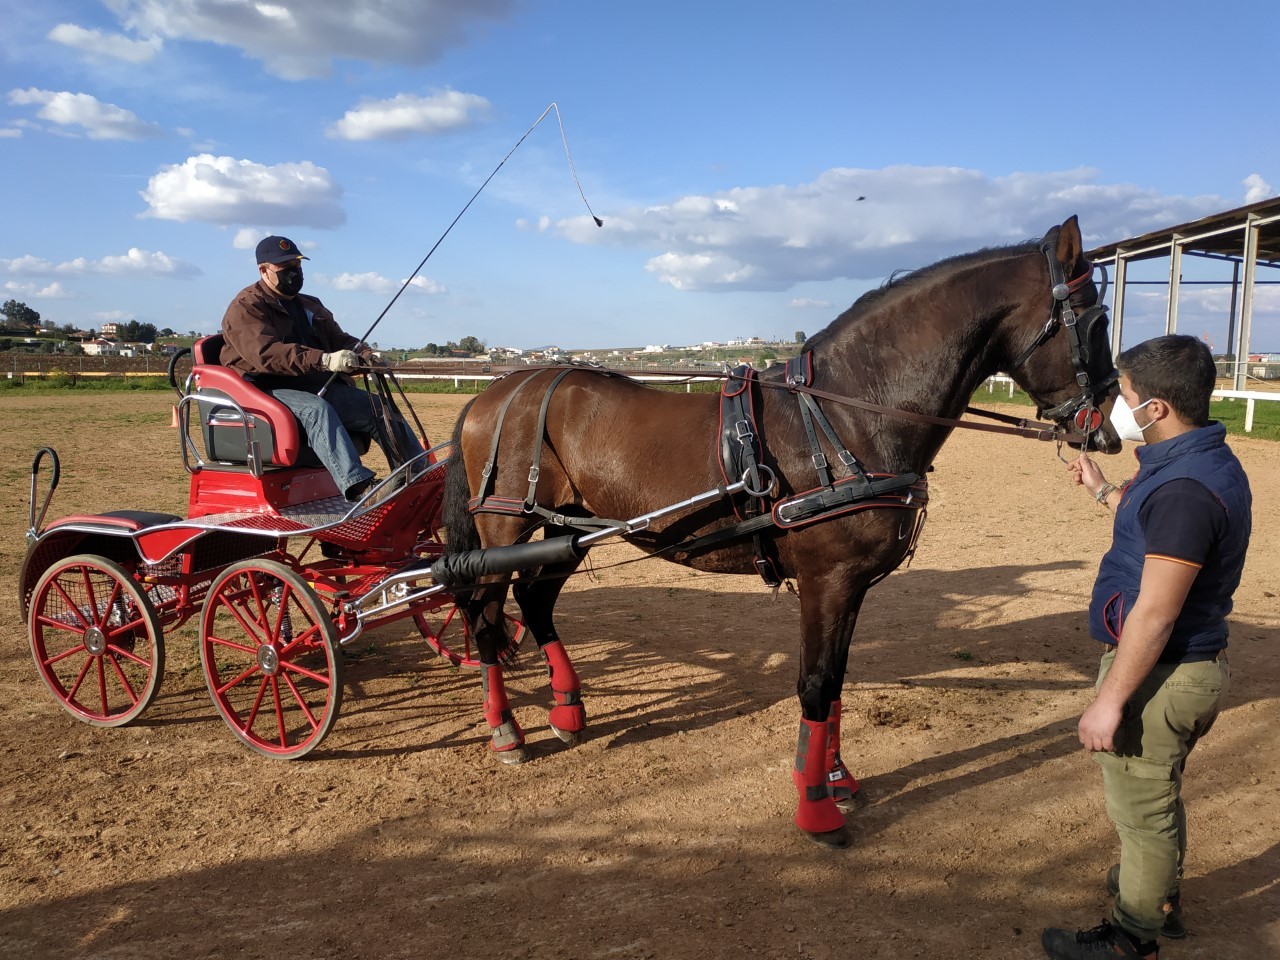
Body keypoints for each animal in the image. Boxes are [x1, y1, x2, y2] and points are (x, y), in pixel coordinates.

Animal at [440, 213, 1121, 844]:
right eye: (1095, 322)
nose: (1110, 435)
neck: (847, 416)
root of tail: (500, 390)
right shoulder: (828, 580)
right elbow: (816, 685)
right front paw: (816, 807)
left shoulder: (851, 586)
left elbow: (837, 682)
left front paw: (837, 778)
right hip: (504, 529)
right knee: (485, 614)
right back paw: (506, 731)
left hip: (573, 528)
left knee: (533, 600)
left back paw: (568, 711)